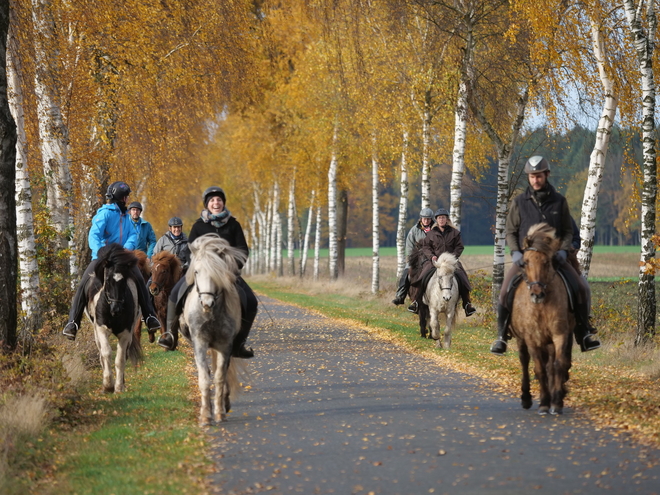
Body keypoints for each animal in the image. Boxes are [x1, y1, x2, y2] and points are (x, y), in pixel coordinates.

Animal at [85, 244, 143, 396]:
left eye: (124, 282)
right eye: (108, 281)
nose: (116, 309)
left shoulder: (126, 333)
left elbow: (120, 359)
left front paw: (118, 387)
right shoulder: (101, 329)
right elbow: (106, 353)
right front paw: (107, 385)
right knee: (101, 353)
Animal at [178, 236, 248, 426]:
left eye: (218, 273)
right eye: (196, 272)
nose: (206, 303)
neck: (211, 313)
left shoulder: (225, 345)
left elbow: (219, 377)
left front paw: (219, 413)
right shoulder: (200, 342)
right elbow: (204, 378)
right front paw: (205, 416)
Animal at [510, 223, 572, 416]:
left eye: (547, 262)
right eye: (525, 262)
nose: (537, 294)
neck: (541, 307)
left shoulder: (560, 335)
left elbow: (558, 365)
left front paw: (557, 401)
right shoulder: (531, 338)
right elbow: (539, 368)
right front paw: (544, 402)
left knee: (551, 365)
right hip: (521, 339)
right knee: (524, 362)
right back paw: (526, 398)